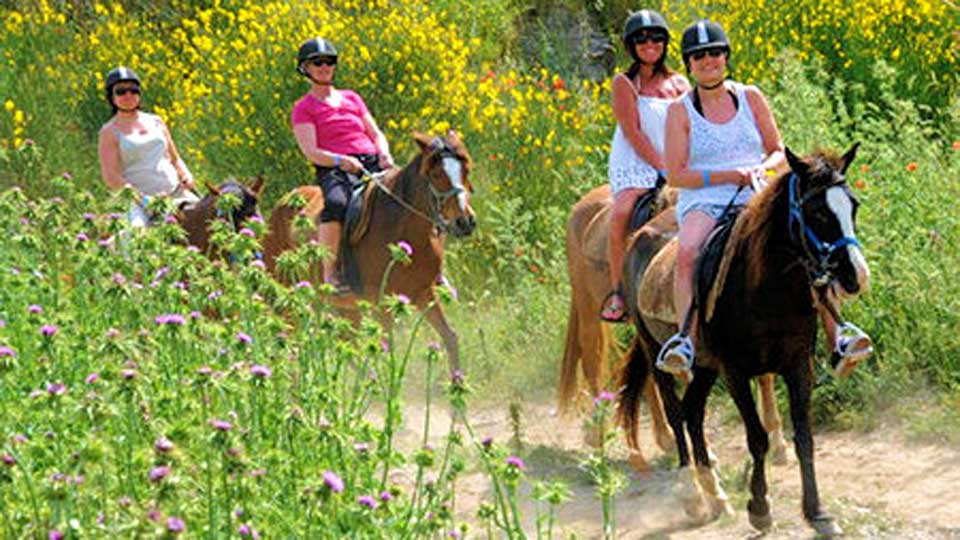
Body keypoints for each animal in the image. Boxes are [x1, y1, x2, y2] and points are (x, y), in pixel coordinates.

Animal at [263, 130, 475, 374]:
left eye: (466, 170)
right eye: (437, 174)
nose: (465, 222)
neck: (402, 228)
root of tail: (283, 202)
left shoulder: (424, 293)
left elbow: (450, 338)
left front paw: (457, 380)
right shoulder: (382, 302)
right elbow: (386, 349)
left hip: (345, 306)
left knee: (347, 343)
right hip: (286, 291)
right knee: (290, 336)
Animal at [618, 145, 868, 536]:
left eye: (852, 205)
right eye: (816, 211)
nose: (856, 275)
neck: (767, 290)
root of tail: (639, 236)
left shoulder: (798, 365)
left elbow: (805, 437)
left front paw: (817, 512)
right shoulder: (735, 371)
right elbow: (757, 438)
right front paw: (760, 508)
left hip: (706, 367)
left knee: (693, 411)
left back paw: (716, 495)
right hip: (654, 348)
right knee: (675, 413)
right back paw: (693, 496)